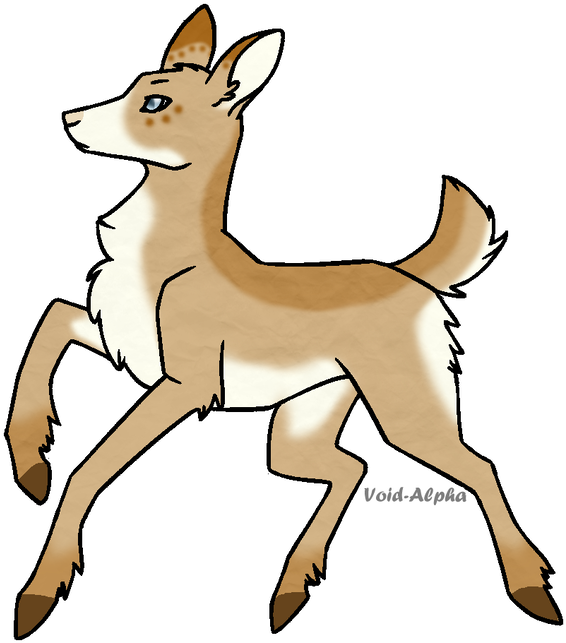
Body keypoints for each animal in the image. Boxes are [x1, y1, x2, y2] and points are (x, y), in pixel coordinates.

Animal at [14, 9, 552, 633]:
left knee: (477, 465)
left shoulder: (186, 384)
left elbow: (90, 468)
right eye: (134, 85)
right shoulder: (126, 348)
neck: (169, 258)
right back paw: (292, 588)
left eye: (155, 101)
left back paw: (531, 587)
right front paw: (29, 461)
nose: (70, 119)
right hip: (298, 429)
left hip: (408, 412)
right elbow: (50, 322)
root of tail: (408, 276)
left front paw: (42, 589)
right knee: (352, 468)